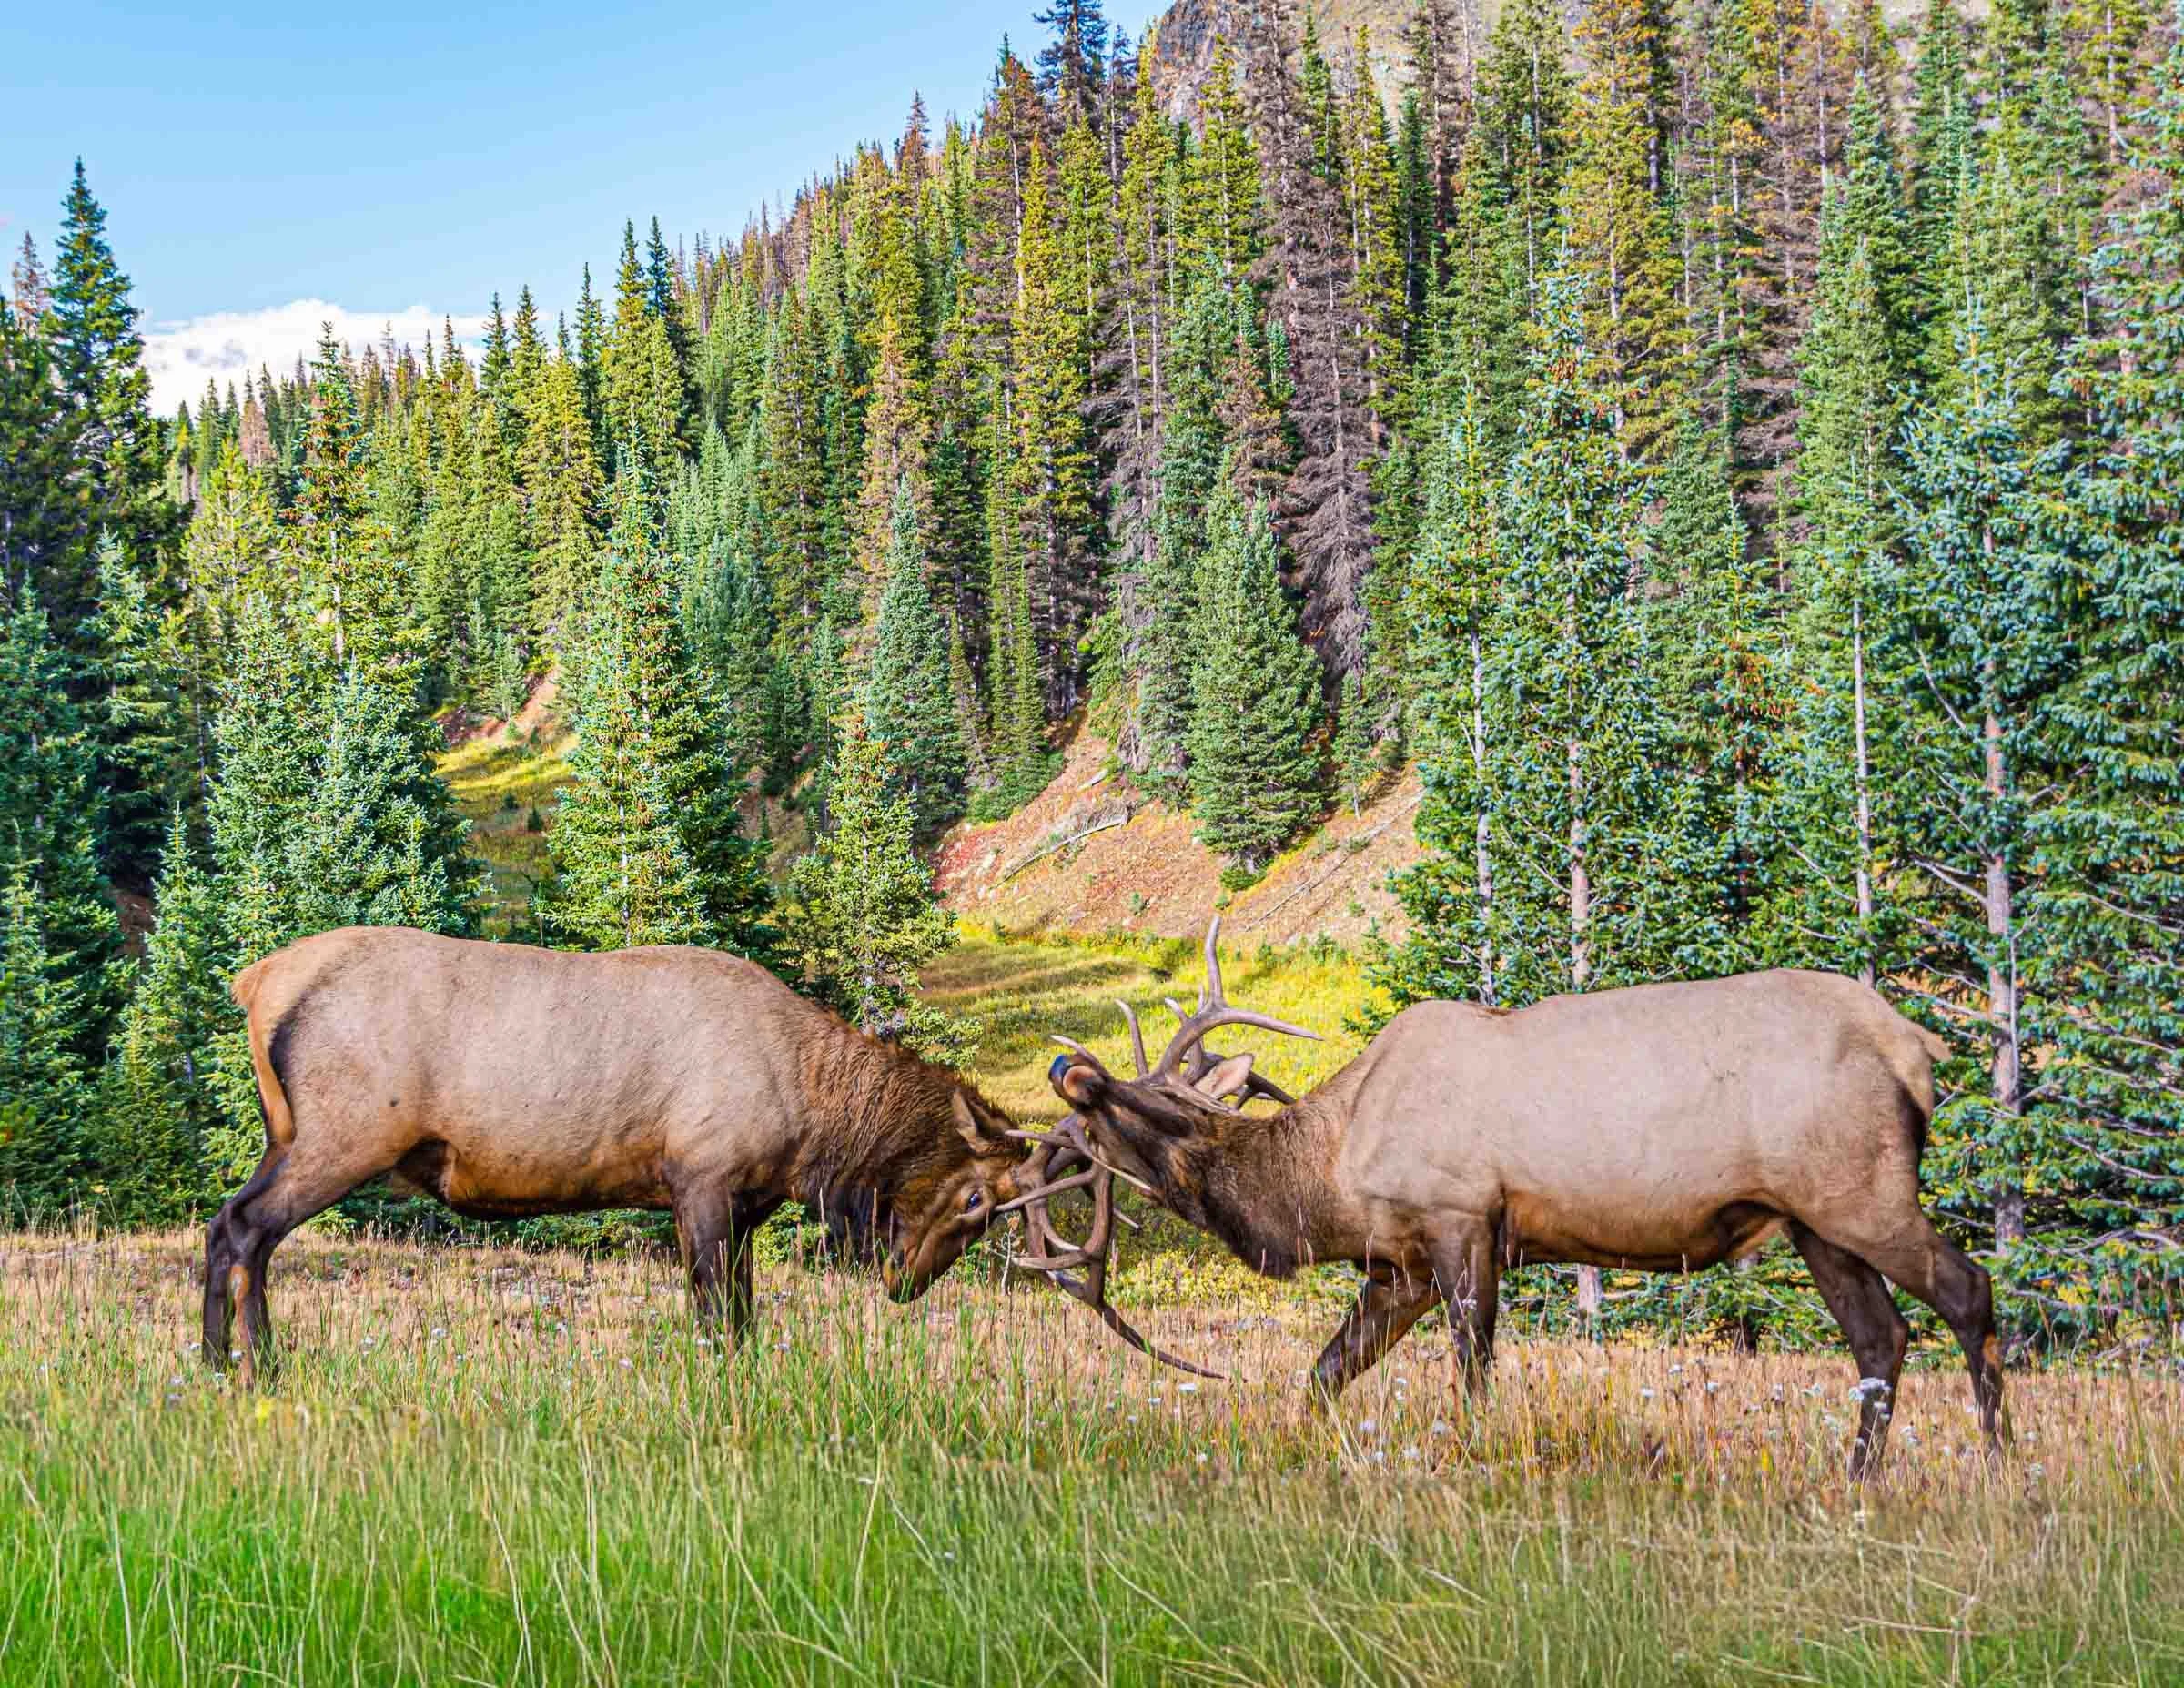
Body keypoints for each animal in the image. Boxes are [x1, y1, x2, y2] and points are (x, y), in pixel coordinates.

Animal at [203, 926, 1032, 1383]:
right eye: (976, 1199)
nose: (906, 1283)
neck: (811, 1127)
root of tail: (255, 983)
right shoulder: (701, 1176)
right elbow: (716, 1311)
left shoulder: (745, 1203)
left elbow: (743, 1312)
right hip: (345, 1134)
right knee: (244, 1227)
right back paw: (252, 1365)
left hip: (290, 1136)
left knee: (227, 1227)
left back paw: (220, 1362)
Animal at [1013, 920, 2006, 1479]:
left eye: (1155, 1109)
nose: (1073, 1071)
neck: (1327, 1178)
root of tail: (1916, 1047)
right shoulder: (1400, 1266)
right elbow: (1325, 1375)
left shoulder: (1464, 1220)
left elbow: (1474, 1371)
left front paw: (1475, 1462)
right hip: (1815, 1221)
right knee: (1882, 1338)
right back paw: (1856, 1485)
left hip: (1860, 1189)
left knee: (1968, 1292)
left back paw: (1998, 1471)